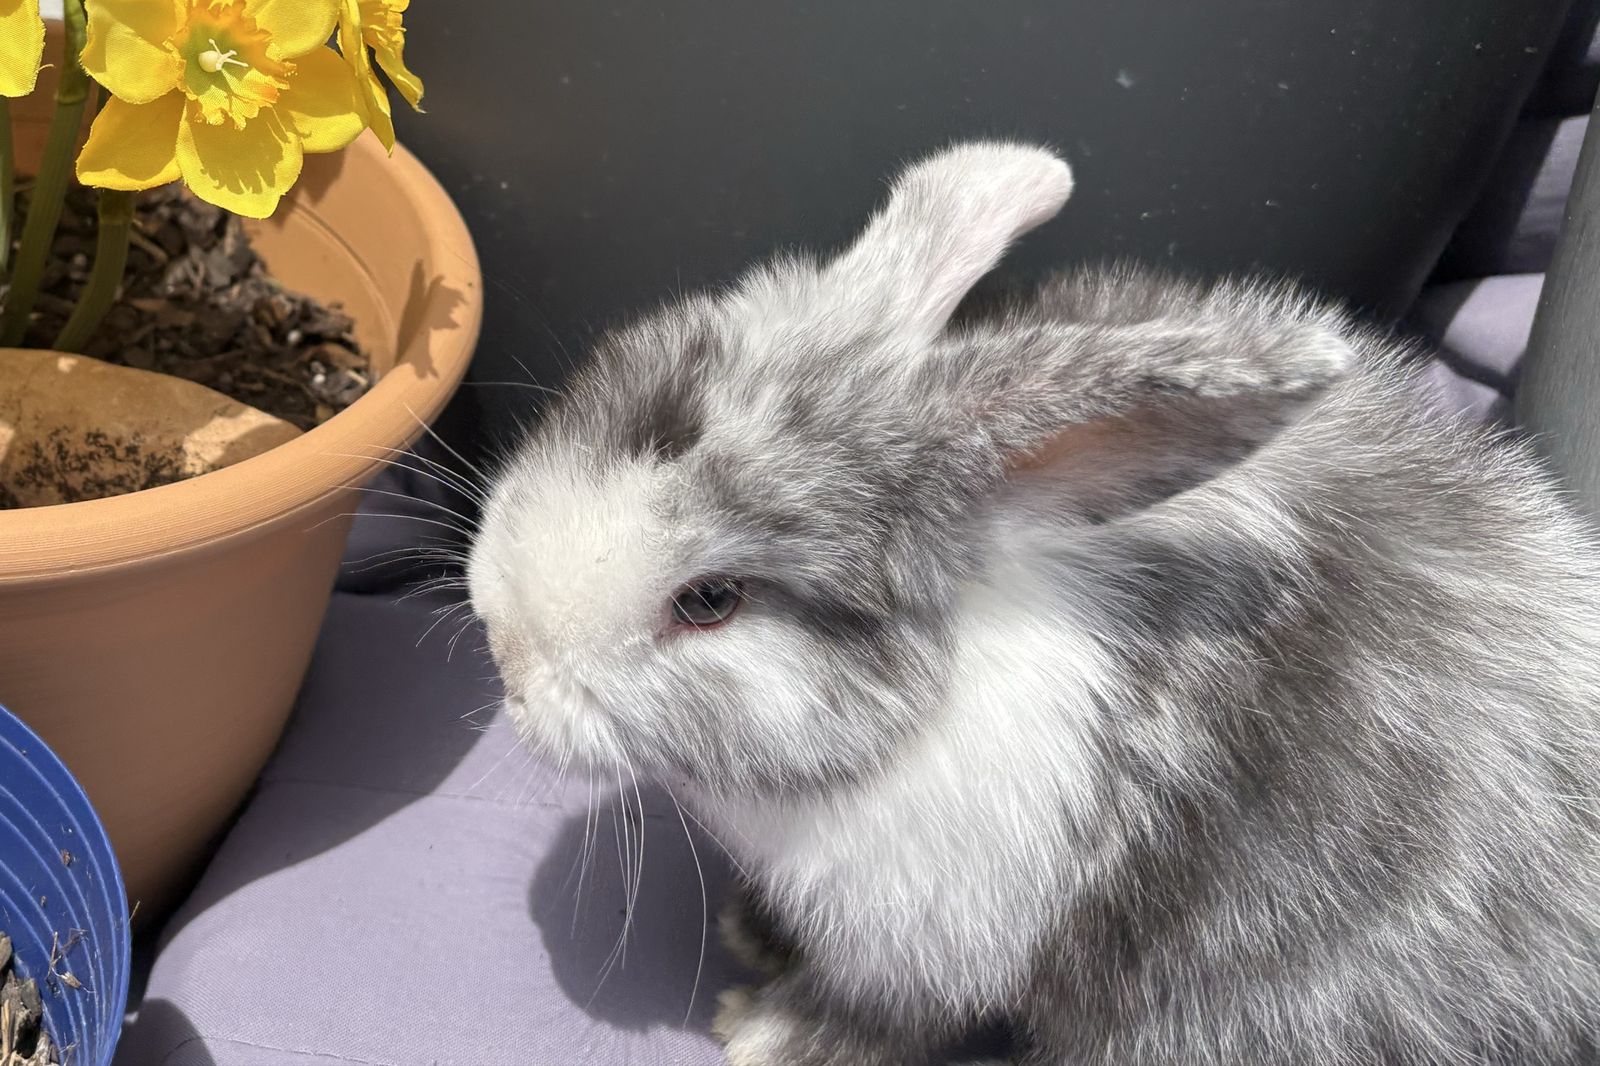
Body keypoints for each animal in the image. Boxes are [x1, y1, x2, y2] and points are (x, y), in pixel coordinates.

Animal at [466, 141, 1600, 1066]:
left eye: (710, 600)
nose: (507, 658)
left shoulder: (932, 939)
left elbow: (876, 1021)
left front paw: (756, 1031)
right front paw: (752, 932)